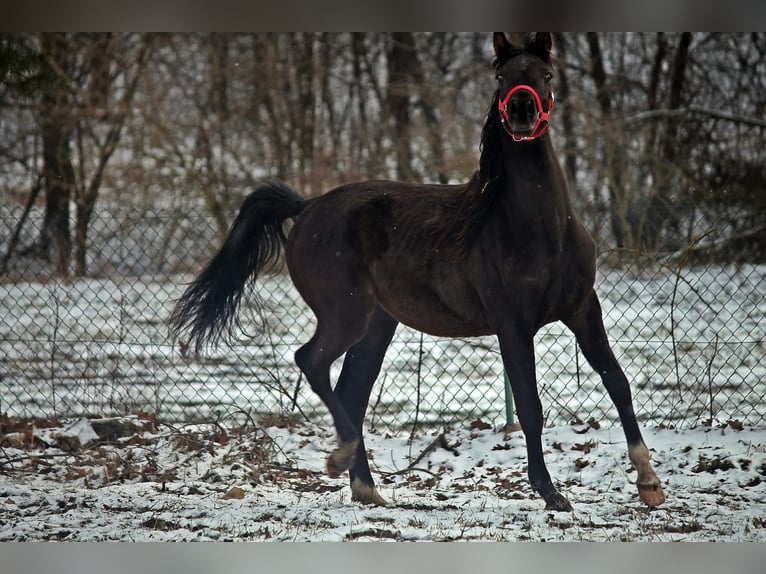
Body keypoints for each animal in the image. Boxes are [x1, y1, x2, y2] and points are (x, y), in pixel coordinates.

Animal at [170, 32, 664, 512]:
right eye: (501, 77)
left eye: (546, 74)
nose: (522, 112)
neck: (540, 229)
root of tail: (307, 207)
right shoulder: (513, 326)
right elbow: (529, 406)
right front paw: (550, 493)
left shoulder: (583, 310)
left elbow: (618, 383)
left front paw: (649, 483)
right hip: (346, 315)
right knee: (312, 362)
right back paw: (340, 457)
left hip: (376, 325)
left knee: (350, 391)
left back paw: (367, 488)